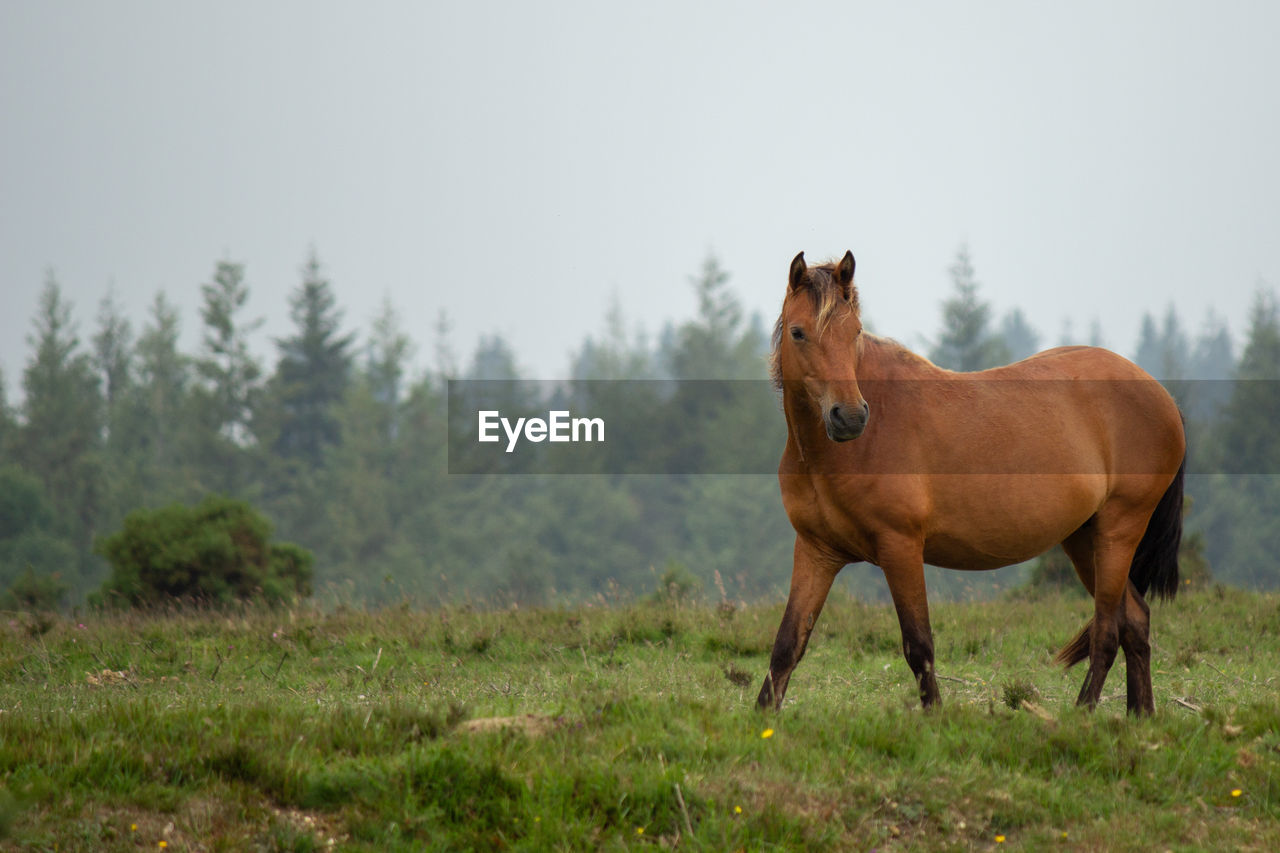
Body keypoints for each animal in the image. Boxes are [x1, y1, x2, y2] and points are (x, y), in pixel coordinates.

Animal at [757, 250, 1185, 715]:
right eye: (798, 333)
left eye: (854, 332)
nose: (849, 417)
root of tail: (1162, 396)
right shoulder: (816, 551)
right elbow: (787, 645)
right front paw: (762, 715)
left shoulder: (900, 547)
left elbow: (918, 646)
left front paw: (935, 716)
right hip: (1083, 538)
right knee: (1134, 621)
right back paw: (1139, 716)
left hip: (1117, 531)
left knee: (1107, 633)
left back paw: (1082, 715)